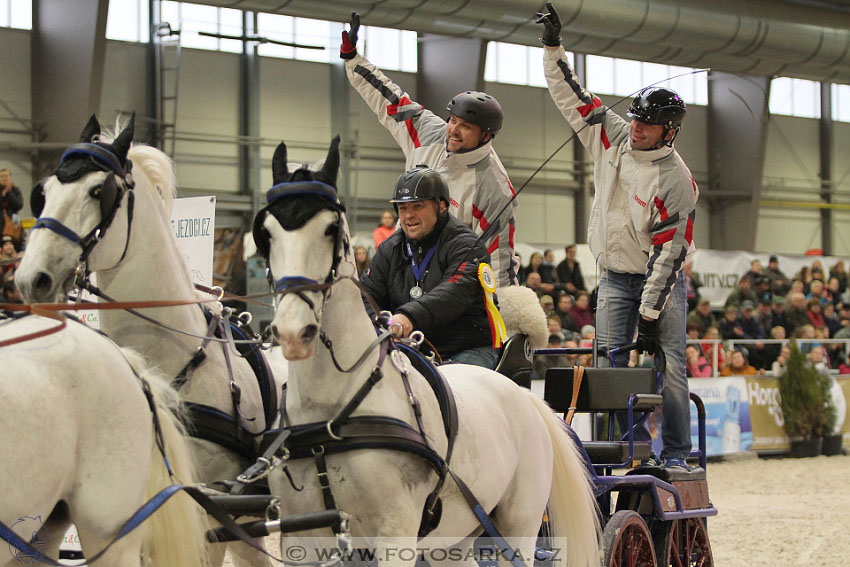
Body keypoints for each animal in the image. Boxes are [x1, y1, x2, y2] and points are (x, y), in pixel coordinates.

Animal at [253, 139, 604, 567]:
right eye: (266, 233)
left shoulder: (395, 535)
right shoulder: (301, 537)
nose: (292, 332)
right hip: (455, 535)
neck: (331, 412)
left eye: (331, 229)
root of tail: (527, 399)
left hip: (517, 526)